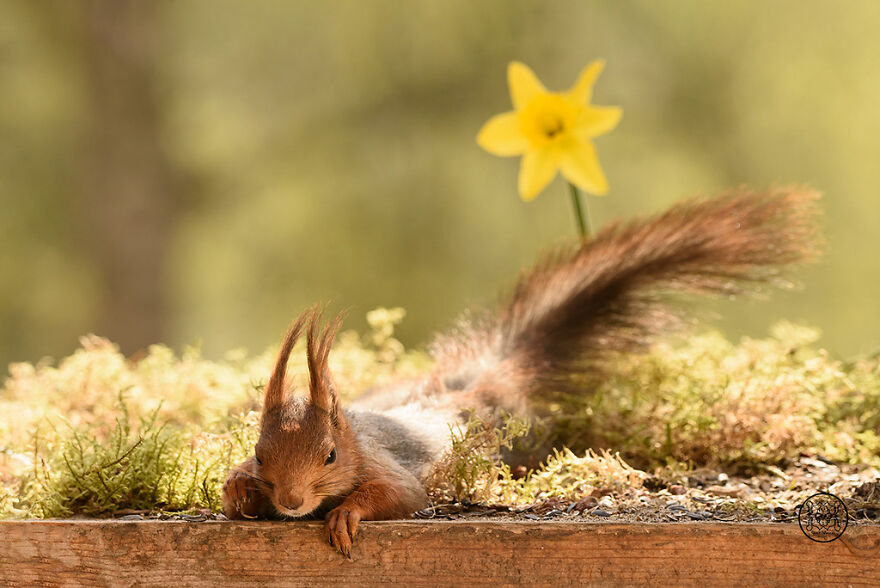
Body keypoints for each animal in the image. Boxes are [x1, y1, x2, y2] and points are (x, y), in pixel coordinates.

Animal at [222, 186, 820, 555]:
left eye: (330, 455)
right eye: (260, 453)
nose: (291, 502)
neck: (358, 435)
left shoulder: (390, 467)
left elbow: (400, 496)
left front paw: (346, 514)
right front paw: (237, 489)